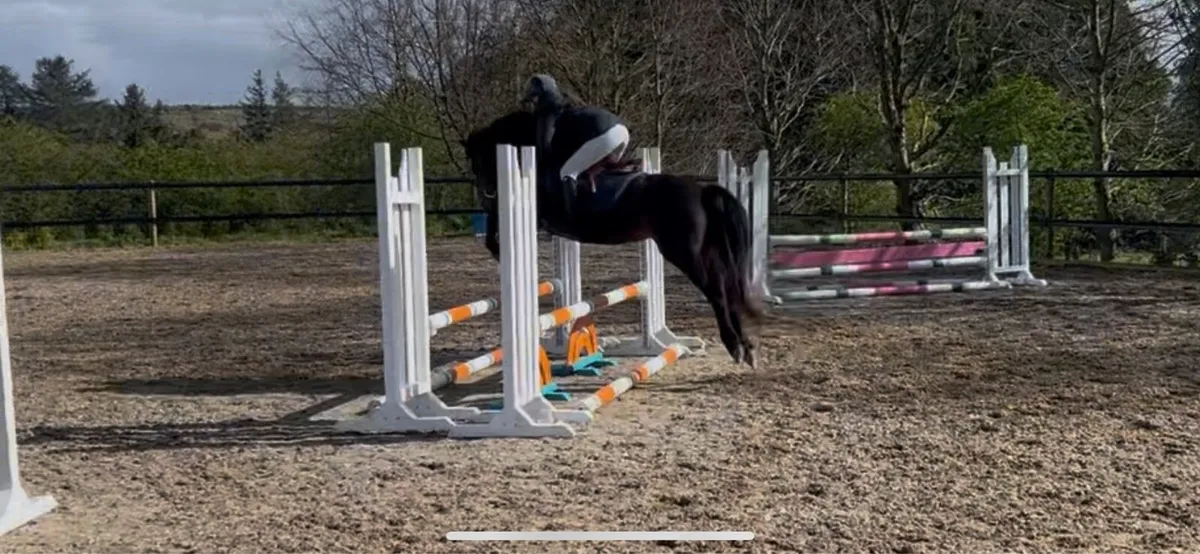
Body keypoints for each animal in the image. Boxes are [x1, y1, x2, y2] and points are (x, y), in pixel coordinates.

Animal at [459, 109, 765, 368]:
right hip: (704, 251)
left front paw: (499, 251)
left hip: (683, 252)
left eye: (478, 161)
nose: (485, 193)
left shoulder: (536, 212)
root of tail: (700, 192)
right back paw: (747, 348)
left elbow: (495, 223)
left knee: (716, 291)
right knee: (725, 286)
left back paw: (735, 347)